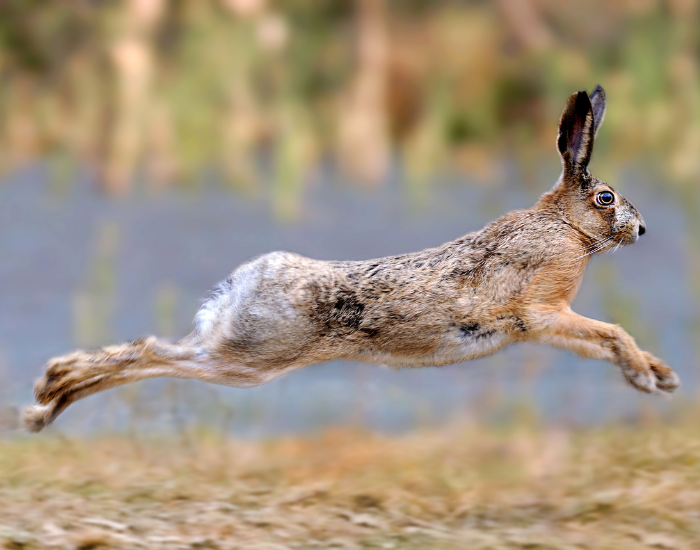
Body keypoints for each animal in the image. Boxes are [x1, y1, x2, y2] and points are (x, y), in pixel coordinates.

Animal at [23, 85, 680, 432]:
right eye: (605, 199)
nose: (644, 229)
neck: (562, 225)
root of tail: (242, 283)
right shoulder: (540, 312)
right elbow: (611, 332)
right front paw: (647, 377)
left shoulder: (545, 325)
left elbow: (603, 340)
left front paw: (662, 375)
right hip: (249, 359)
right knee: (156, 354)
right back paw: (47, 397)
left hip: (242, 354)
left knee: (157, 353)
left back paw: (50, 398)